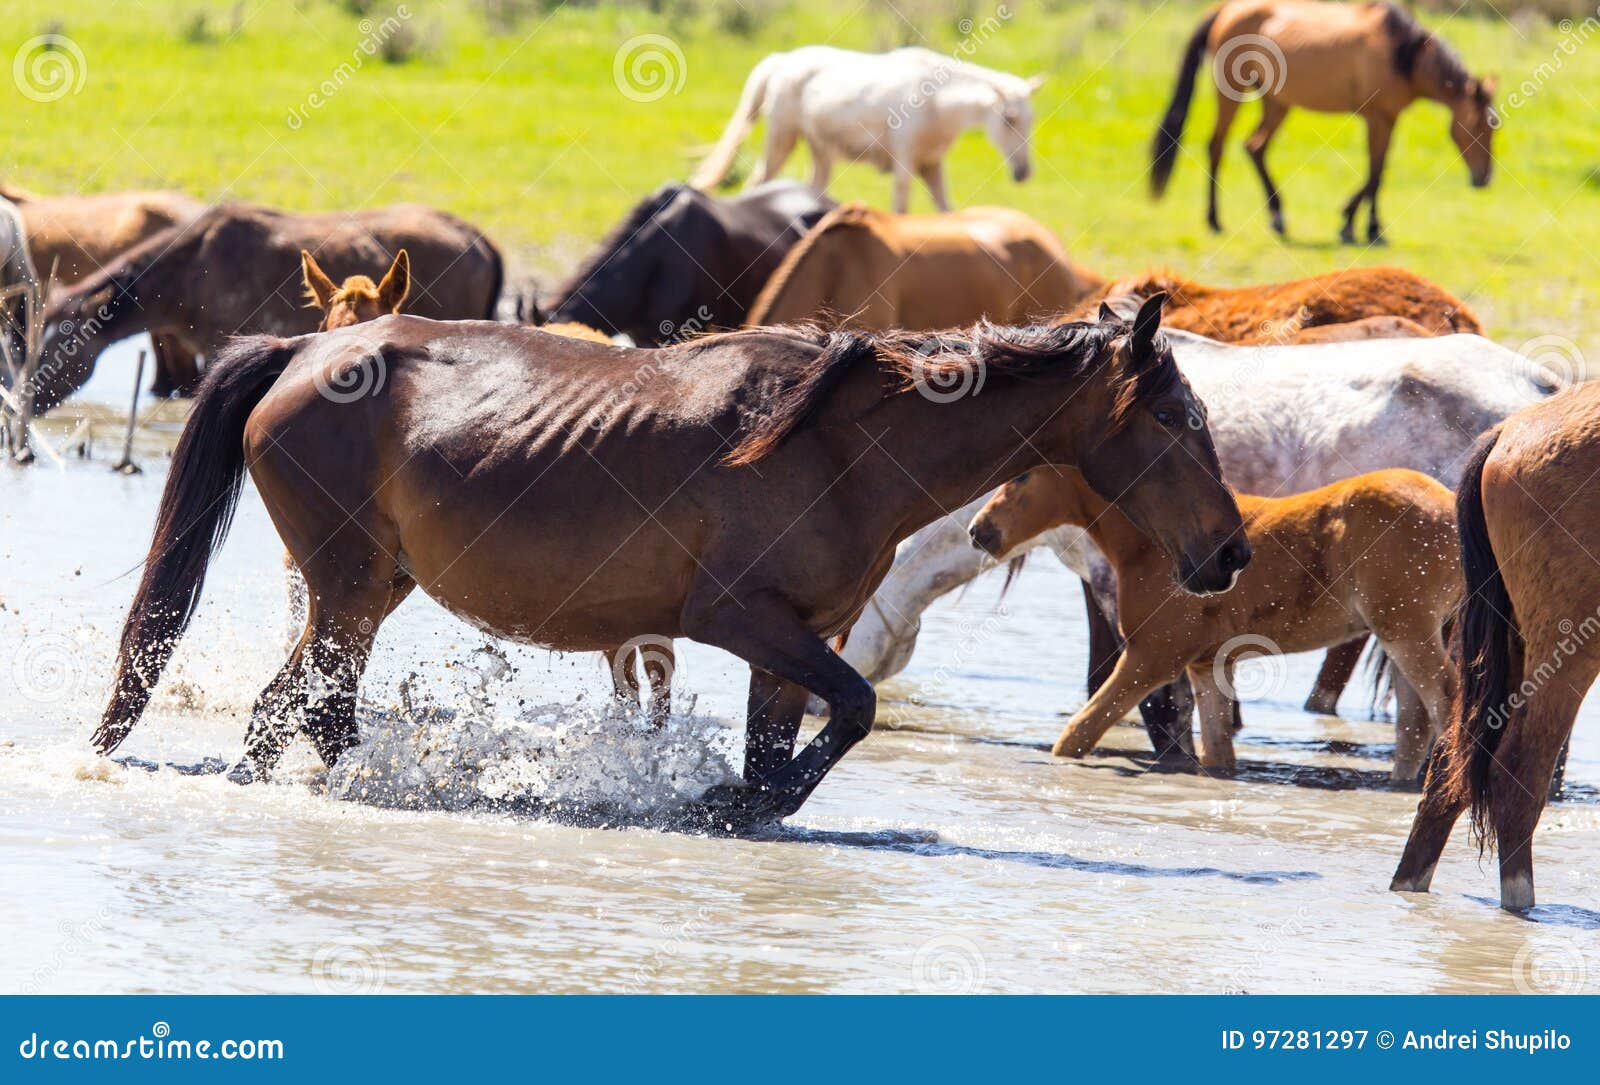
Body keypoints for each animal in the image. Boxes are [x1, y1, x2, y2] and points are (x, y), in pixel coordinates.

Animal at [92, 296, 1251, 826]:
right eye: (1176, 419)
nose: (1231, 552)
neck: (839, 446)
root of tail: (305, 350)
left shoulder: (793, 638)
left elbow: (797, 738)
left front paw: (744, 799)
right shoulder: (739, 618)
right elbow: (854, 709)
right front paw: (726, 802)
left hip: (366, 593)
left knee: (297, 710)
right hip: (344, 590)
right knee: (299, 709)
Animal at [691, 46, 1044, 213]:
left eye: (1031, 119)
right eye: (1009, 119)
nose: (1024, 172)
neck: (937, 103)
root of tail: (782, 60)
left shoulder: (931, 165)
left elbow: (946, 210)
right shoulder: (905, 164)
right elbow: (901, 208)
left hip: (821, 151)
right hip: (782, 140)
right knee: (757, 182)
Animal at [970, 466, 1460, 781]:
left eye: (1020, 478)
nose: (979, 531)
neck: (1155, 546)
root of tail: (1451, 508)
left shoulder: (1152, 657)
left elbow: (1076, 734)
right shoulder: (1208, 663)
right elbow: (1219, 753)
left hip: (1406, 629)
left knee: (1445, 702)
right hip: (1405, 632)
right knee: (1414, 724)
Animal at [1150, 0, 1496, 242]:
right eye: (1476, 126)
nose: (1485, 178)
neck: (1402, 55)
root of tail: (1226, 9)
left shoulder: (1389, 118)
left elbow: (1379, 170)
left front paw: (1362, 224)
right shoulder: (1376, 118)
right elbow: (1375, 173)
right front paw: (1360, 226)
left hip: (1276, 102)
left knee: (1255, 146)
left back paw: (1278, 217)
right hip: (1231, 91)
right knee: (1217, 146)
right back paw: (1214, 220)